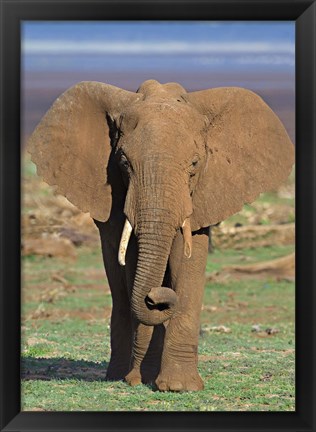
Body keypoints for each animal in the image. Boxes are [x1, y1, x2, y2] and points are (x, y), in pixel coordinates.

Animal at [27, 78, 294, 392]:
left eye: (194, 164)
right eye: (123, 163)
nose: (156, 298)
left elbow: (187, 262)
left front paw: (180, 386)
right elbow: (131, 261)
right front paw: (140, 380)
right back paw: (118, 375)